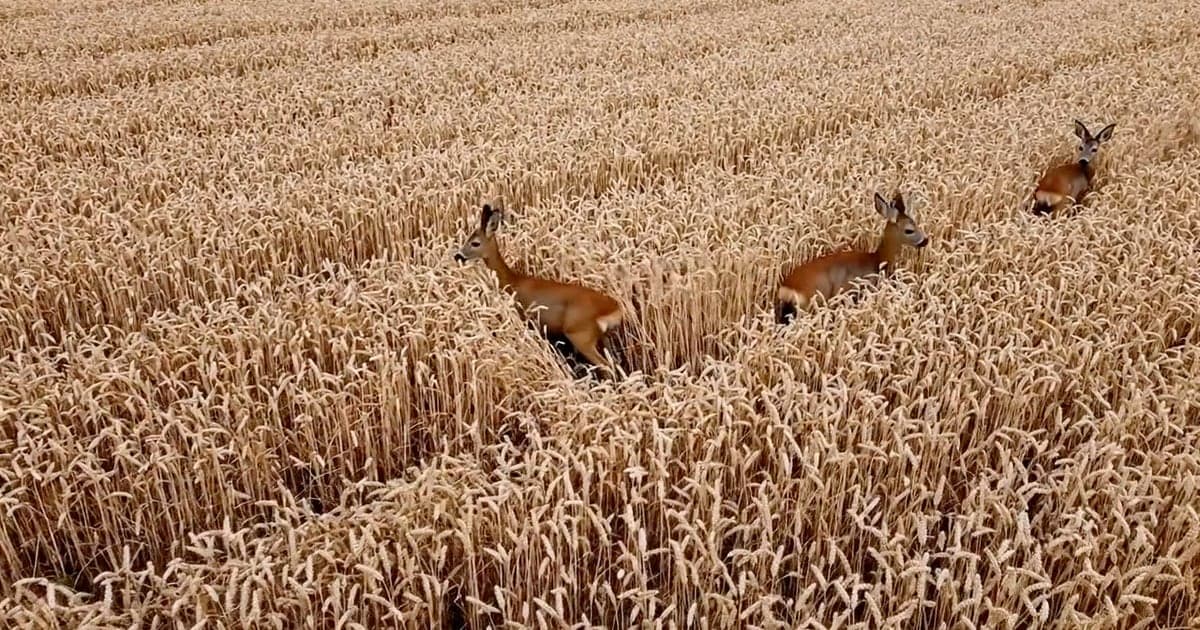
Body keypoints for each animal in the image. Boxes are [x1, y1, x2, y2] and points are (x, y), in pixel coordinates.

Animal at [454, 203, 624, 376]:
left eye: (475, 243)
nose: (458, 256)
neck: (512, 282)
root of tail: (614, 309)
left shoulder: (526, 318)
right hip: (602, 337)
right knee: (615, 362)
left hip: (580, 334)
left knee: (606, 365)